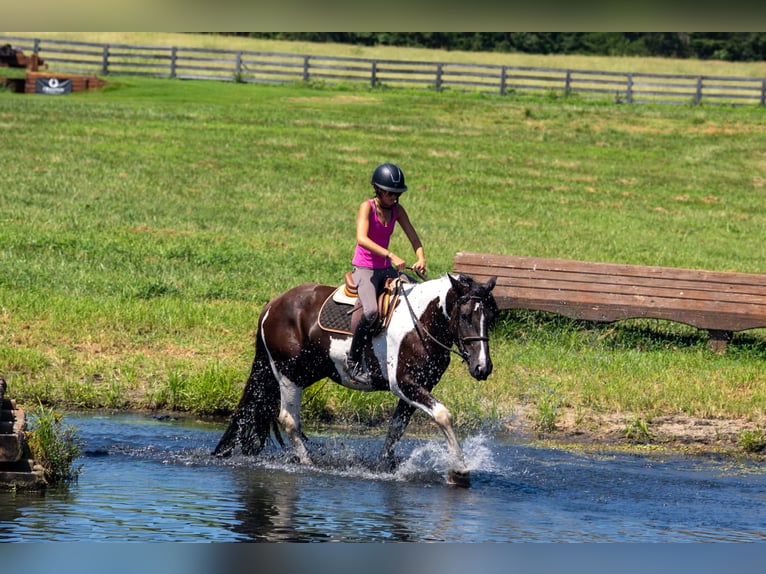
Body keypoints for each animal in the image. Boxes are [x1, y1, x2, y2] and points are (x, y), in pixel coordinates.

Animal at [213, 272, 498, 487]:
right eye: (465, 316)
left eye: (491, 318)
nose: (482, 367)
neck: (420, 321)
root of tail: (273, 305)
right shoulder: (404, 384)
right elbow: (442, 415)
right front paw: (459, 470)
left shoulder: (421, 385)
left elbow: (397, 427)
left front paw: (384, 465)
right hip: (288, 374)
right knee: (288, 419)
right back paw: (308, 463)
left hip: (303, 372)